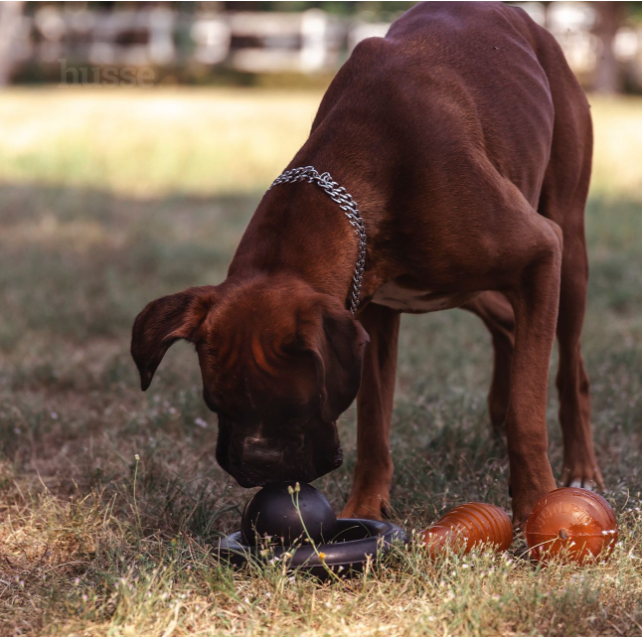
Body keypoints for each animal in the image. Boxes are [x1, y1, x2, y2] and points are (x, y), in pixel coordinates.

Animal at [130, 2, 600, 524]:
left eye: (299, 406)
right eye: (216, 405)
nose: (258, 462)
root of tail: (525, 18)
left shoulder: (540, 254)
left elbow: (527, 408)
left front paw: (536, 501)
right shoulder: (367, 315)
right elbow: (374, 422)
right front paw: (367, 507)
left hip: (567, 252)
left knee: (569, 367)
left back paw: (581, 469)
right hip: (471, 288)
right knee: (510, 327)